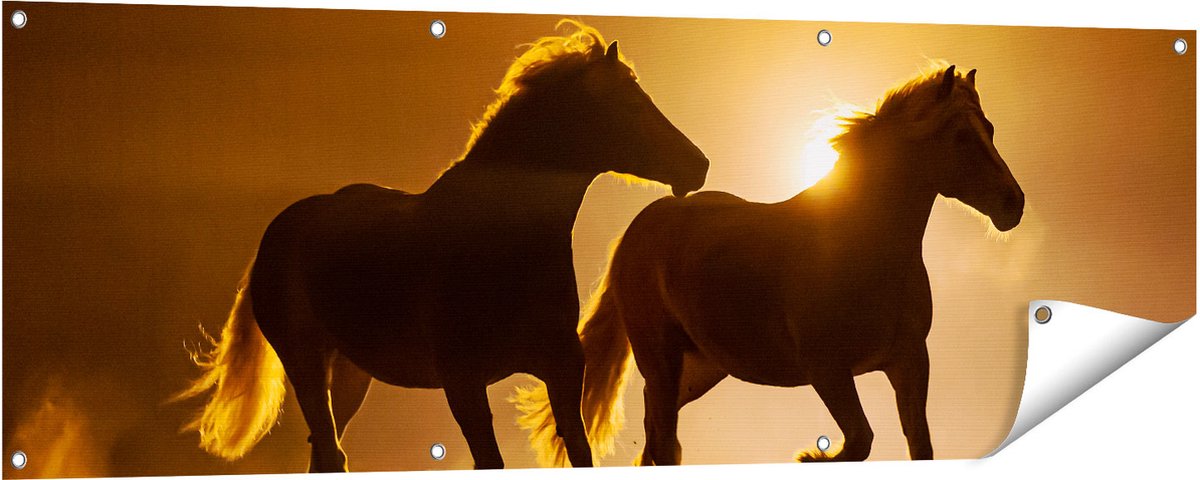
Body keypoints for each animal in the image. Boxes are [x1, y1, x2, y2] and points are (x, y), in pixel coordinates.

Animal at [174, 21, 709, 472]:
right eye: (632, 104)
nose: (698, 165)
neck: (501, 245)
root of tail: (279, 230)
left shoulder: (562, 370)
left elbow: (579, 453)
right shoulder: (463, 382)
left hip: (348, 374)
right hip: (305, 361)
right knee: (329, 451)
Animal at [514, 64, 1024, 466]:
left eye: (991, 129)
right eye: (960, 136)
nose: (1013, 204)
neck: (865, 246)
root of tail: (644, 224)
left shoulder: (909, 361)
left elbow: (918, 447)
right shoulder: (827, 370)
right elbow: (860, 441)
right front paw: (811, 454)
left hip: (699, 368)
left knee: (661, 435)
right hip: (660, 357)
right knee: (660, 439)